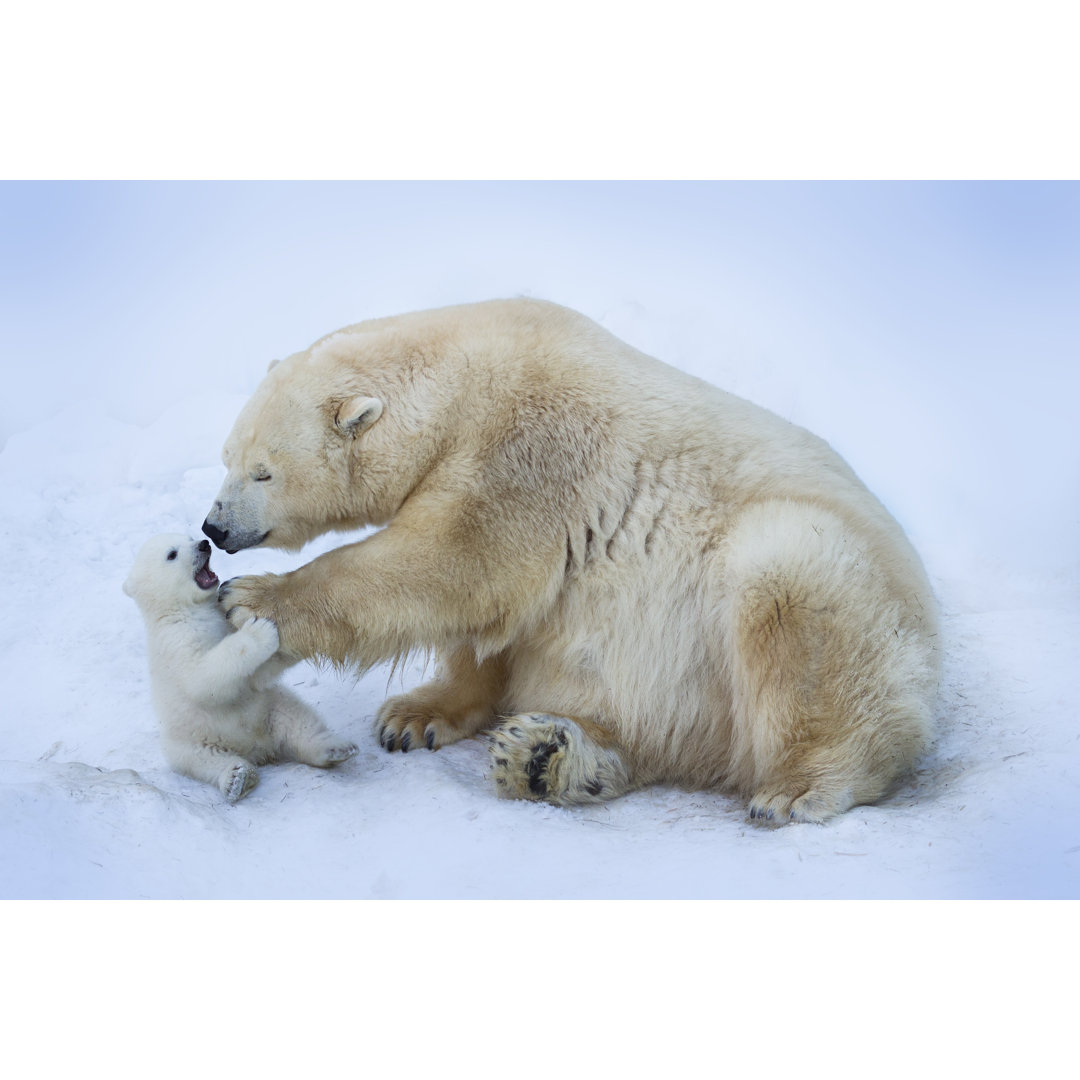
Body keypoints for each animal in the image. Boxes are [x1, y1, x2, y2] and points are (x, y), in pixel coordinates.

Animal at [122, 533, 358, 803]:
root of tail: (257, 747)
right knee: (201, 759)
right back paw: (237, 778)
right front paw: (260, 629)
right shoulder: (176, 641)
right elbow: (203, 678)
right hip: (188, 739)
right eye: (172, 554)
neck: (185, 608)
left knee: (298, 721)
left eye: (188, 537)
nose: (204, 544)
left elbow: (255, 677)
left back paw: (336, 748)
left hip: (271, 707)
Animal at [206, 300, 941, 820]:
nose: (214, 527)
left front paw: (252, 601)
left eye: (264, 472)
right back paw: (545, 757)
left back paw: (799, 785)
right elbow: (493, 619)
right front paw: (415, 717)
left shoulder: (533, 446)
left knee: (793, 596)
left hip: (833, 589)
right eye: (227, 458)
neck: (467, 377)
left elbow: (456, 563)